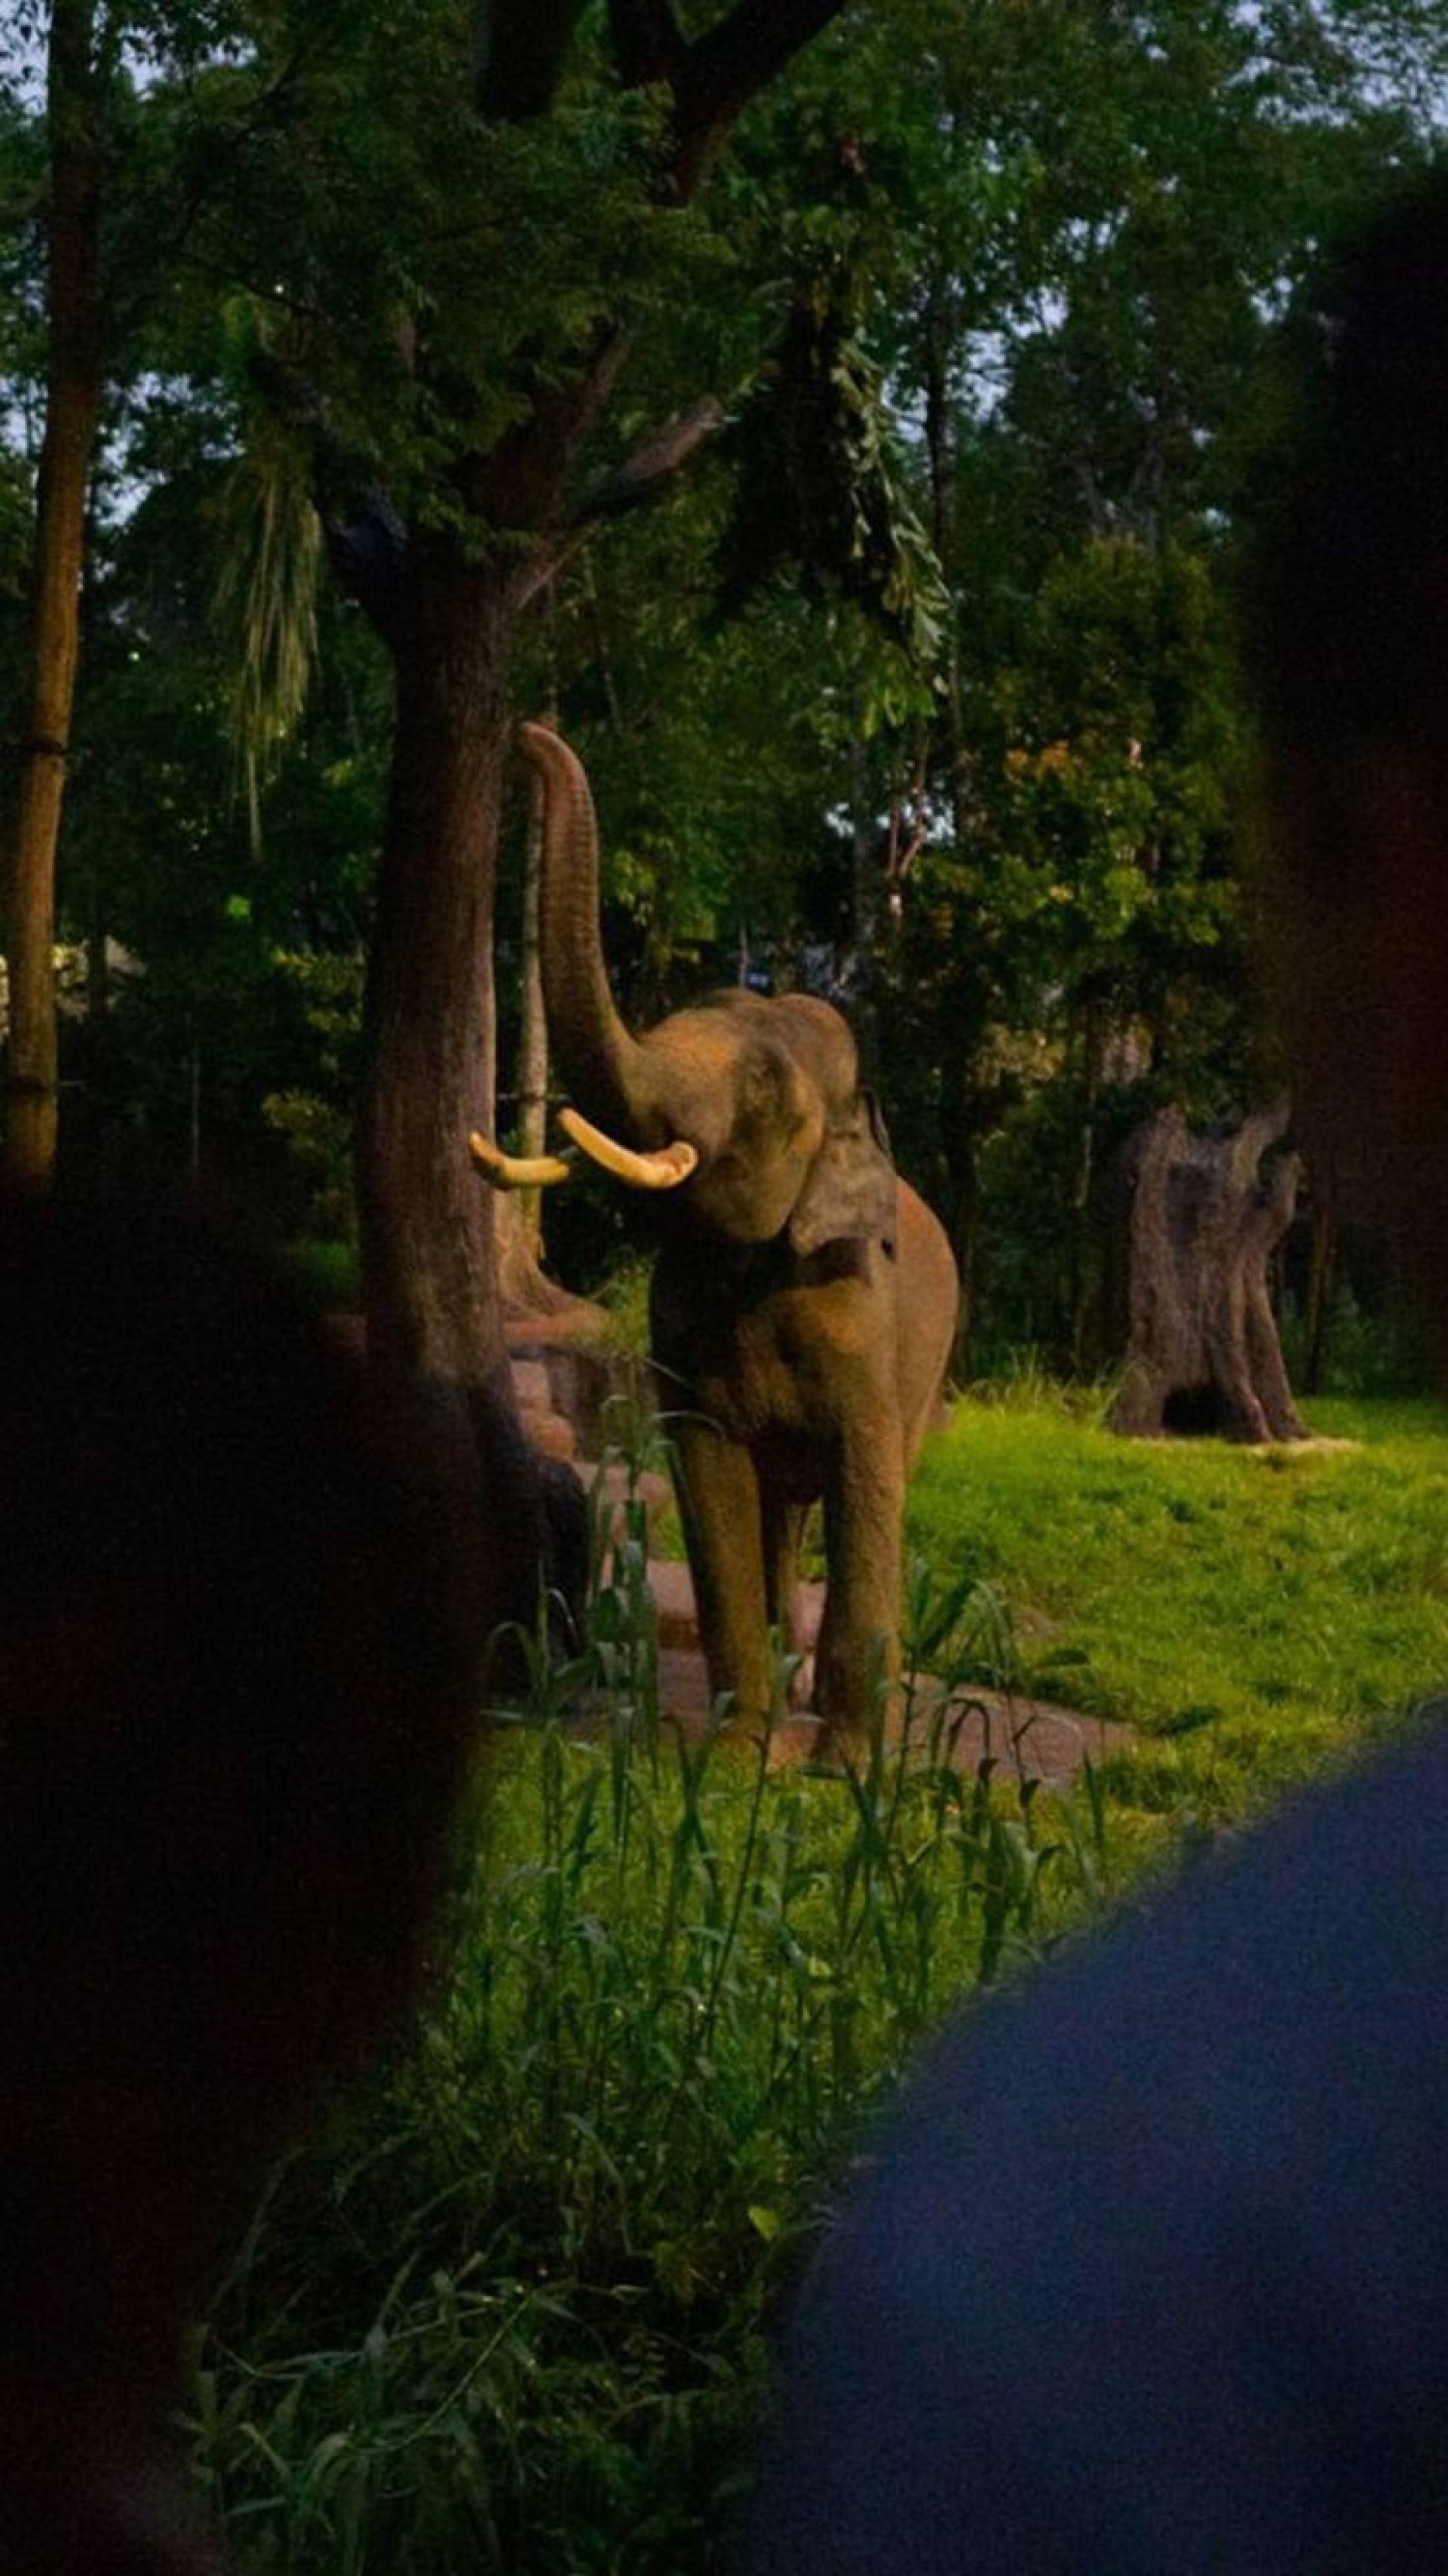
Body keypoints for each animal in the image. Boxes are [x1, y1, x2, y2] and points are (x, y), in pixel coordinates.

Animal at [468, 731, 953, 1772]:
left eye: (764, 1090)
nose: (525, 733)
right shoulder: (681, 1327)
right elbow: (712, 1476)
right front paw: (737, 1762)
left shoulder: (862, 1312)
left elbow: (868, 1478)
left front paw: (846, 1771)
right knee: (781, 1509)